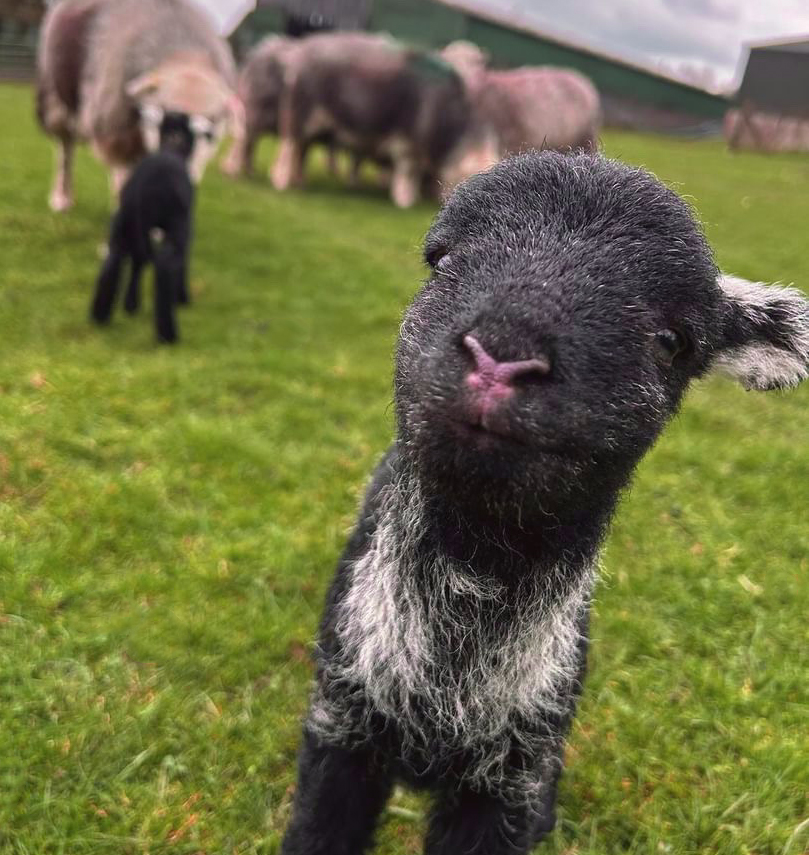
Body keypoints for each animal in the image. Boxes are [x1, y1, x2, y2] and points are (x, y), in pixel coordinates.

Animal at [90, 110, 196, 344]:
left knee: (115, 260)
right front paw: (182, 298)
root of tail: (144, 188)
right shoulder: (185, 227)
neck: (172, 147)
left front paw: (131, 305)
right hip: (175, 227)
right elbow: (183, 263)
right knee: (164, 265)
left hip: (122, 224)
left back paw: (99, 316)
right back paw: (168, 335)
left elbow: (138, 262)